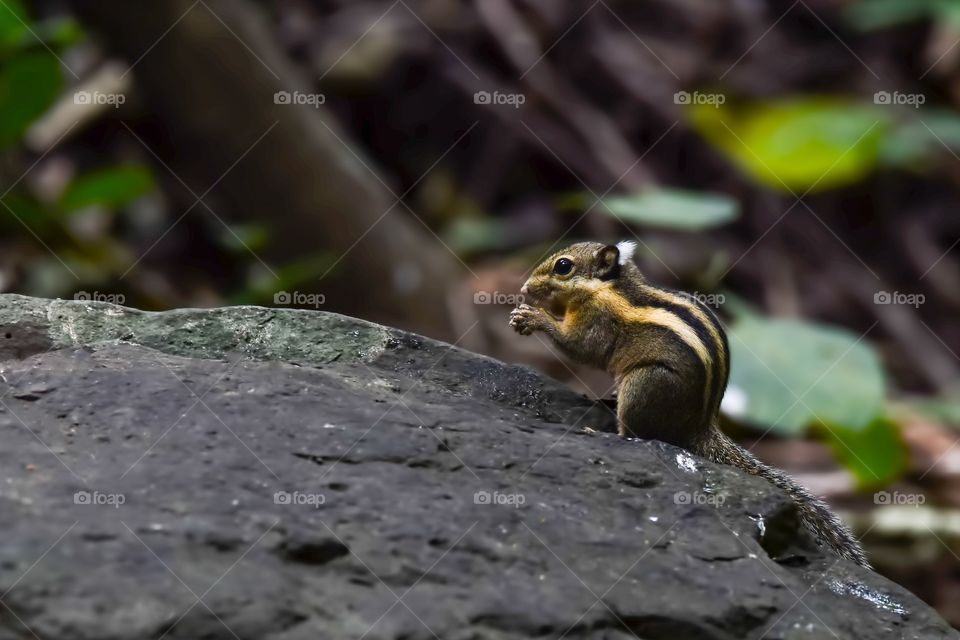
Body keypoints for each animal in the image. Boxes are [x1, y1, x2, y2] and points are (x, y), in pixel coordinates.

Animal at [509, 240, 869, 568]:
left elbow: (580, 347)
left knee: (635, 435)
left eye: (563, 266)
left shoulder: (596, 321)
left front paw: (534, 317)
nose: (524, 287)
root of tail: (700, 426)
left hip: (644, 383)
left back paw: (602, 433)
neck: (610, 288)